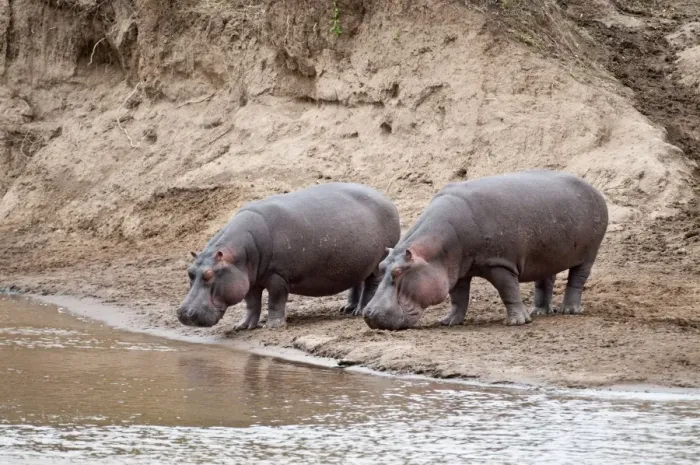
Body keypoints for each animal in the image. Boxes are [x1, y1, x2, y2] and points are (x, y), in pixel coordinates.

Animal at [177, 182, 401, 329]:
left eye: (208, 275)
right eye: (189, 272)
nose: (183, 313)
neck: (238, 255)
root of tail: (387, 199)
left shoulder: (278, 276)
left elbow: (275, 301)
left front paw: (273, 326)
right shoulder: (250, 279)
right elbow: (252, 304)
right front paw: (243, 326)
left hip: (376, 264)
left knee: (371, 285)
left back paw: (359, 311)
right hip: (357, 261)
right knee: (357, 282)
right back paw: (347, 309)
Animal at [362, 170, 608, 331]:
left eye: (398, 272)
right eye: (382, 266)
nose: (369, 314)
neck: (433, 252)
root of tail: (593, 189)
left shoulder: (500, 263)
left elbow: (508, 291)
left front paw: (517, 322)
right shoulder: (456, 270)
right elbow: (458, 297)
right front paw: (448, 321)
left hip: (589, 254)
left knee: (577, 280)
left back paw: (569, 310)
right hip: (547, 254)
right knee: (545, 280)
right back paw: (539, 312)